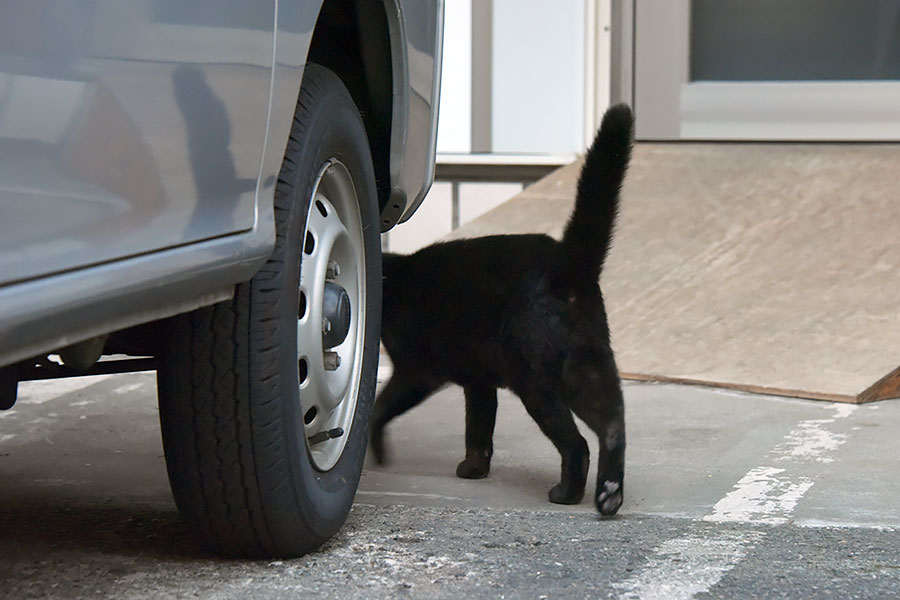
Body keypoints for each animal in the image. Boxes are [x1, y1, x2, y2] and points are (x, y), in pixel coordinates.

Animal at [366, 103, 632, 516]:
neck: (392, 281)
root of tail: (567, 262)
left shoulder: (416, 370)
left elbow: (383, 407)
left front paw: (377, 452)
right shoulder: (478, 378)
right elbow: (478, 426)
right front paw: (474, 469)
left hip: (536, 381)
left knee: (577, 444)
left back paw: (567, 493)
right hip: (585, 363)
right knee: (612, 423)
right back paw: (609, 494)